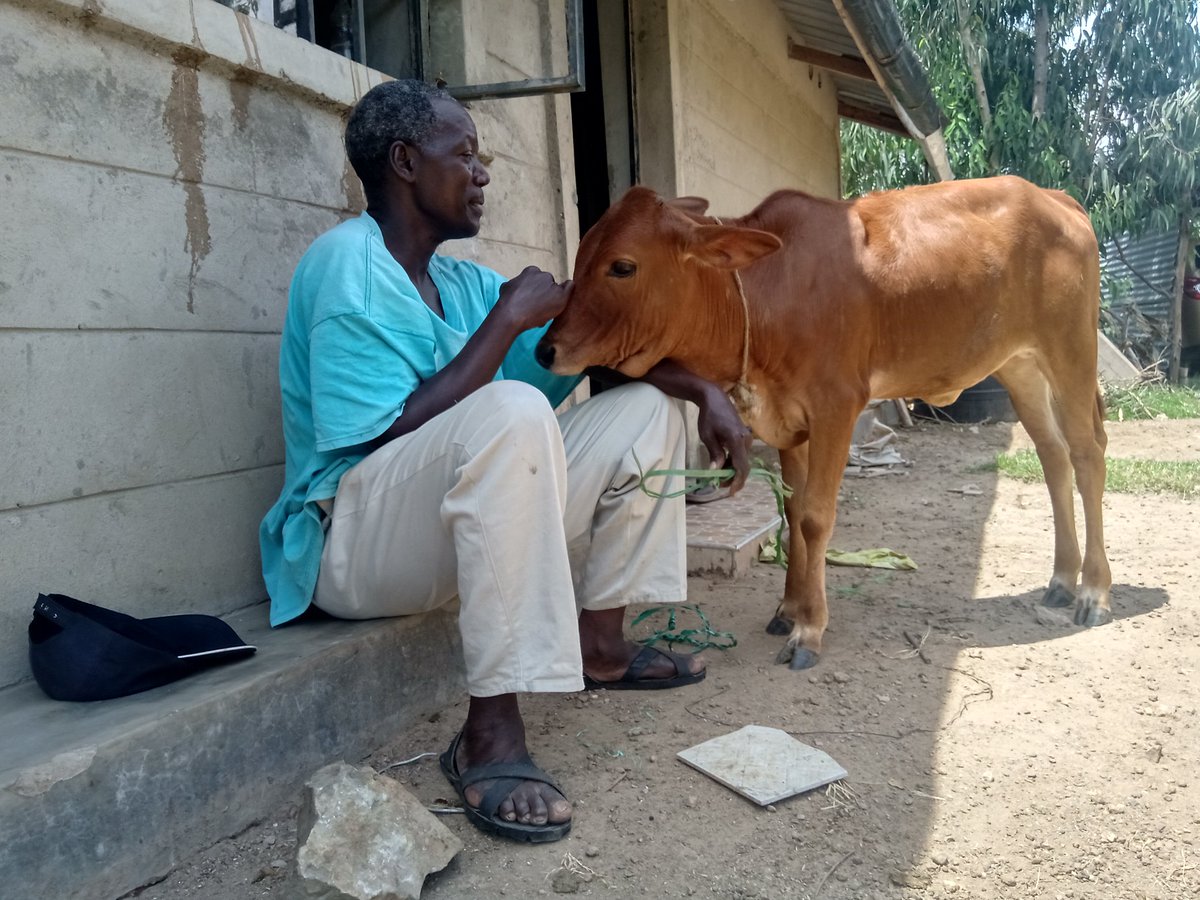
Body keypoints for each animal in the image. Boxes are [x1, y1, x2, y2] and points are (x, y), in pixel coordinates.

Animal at [540, 174, 1108, 672]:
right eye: (581, 255)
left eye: (622, 267)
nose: (546, 349)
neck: (764, 295)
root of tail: (1057, 199)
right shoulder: (790, 422)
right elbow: (792, 513)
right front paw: (787, 610)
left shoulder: (837, 406)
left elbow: (815, 517)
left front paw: (809, 630)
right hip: (1020, 367)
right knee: (1053, 457)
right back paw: (1061, 580)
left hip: (1070, 351)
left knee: (1087, 456)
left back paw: (1093, 590)